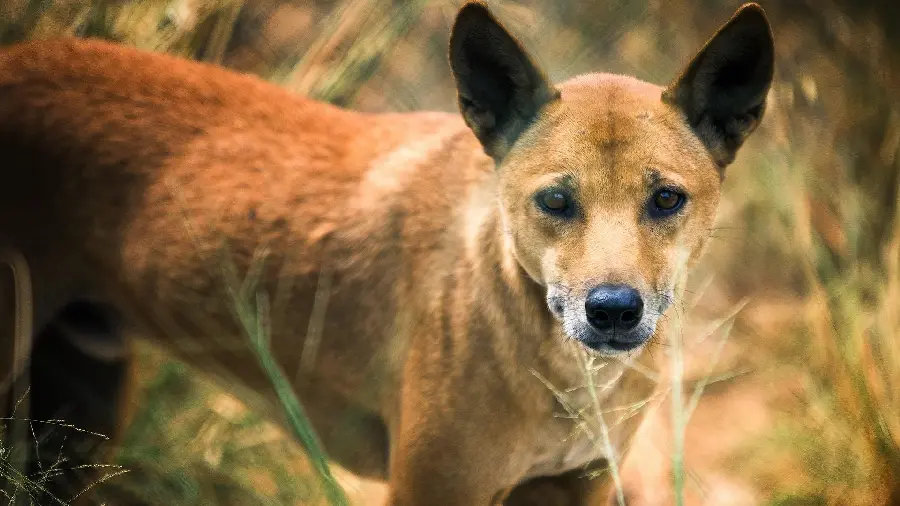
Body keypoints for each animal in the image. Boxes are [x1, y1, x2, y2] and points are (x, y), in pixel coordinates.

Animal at [0, 1, 772, 504]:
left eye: (666, 199)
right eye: (555, 201)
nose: (613, 311)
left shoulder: (572, 489)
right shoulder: (433, 489)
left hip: (79, 416)